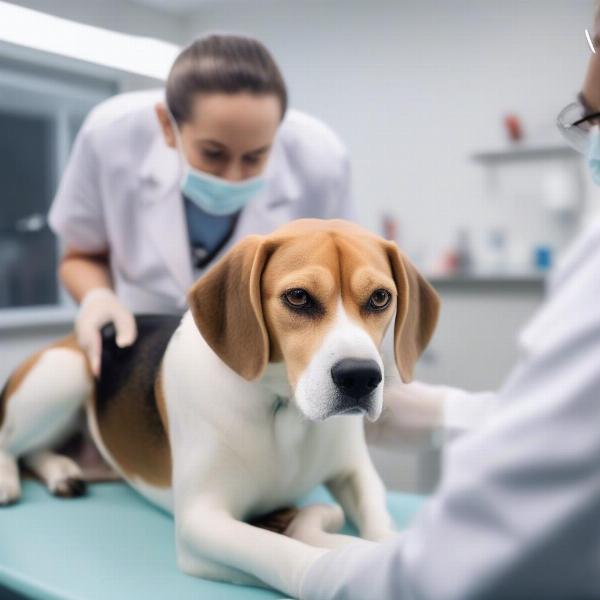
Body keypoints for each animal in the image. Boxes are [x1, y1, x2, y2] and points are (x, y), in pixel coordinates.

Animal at [1, 218, 440, 596]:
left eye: (380, 297)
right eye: (298, 297)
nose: (361, 377)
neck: (284, 407)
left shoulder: (353, 471)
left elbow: (379, 519)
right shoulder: (202, 521)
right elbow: (281, 552)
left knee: (38, 452)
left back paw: (63, 471)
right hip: (66, 371)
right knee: (10, 442)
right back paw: (11, 481)